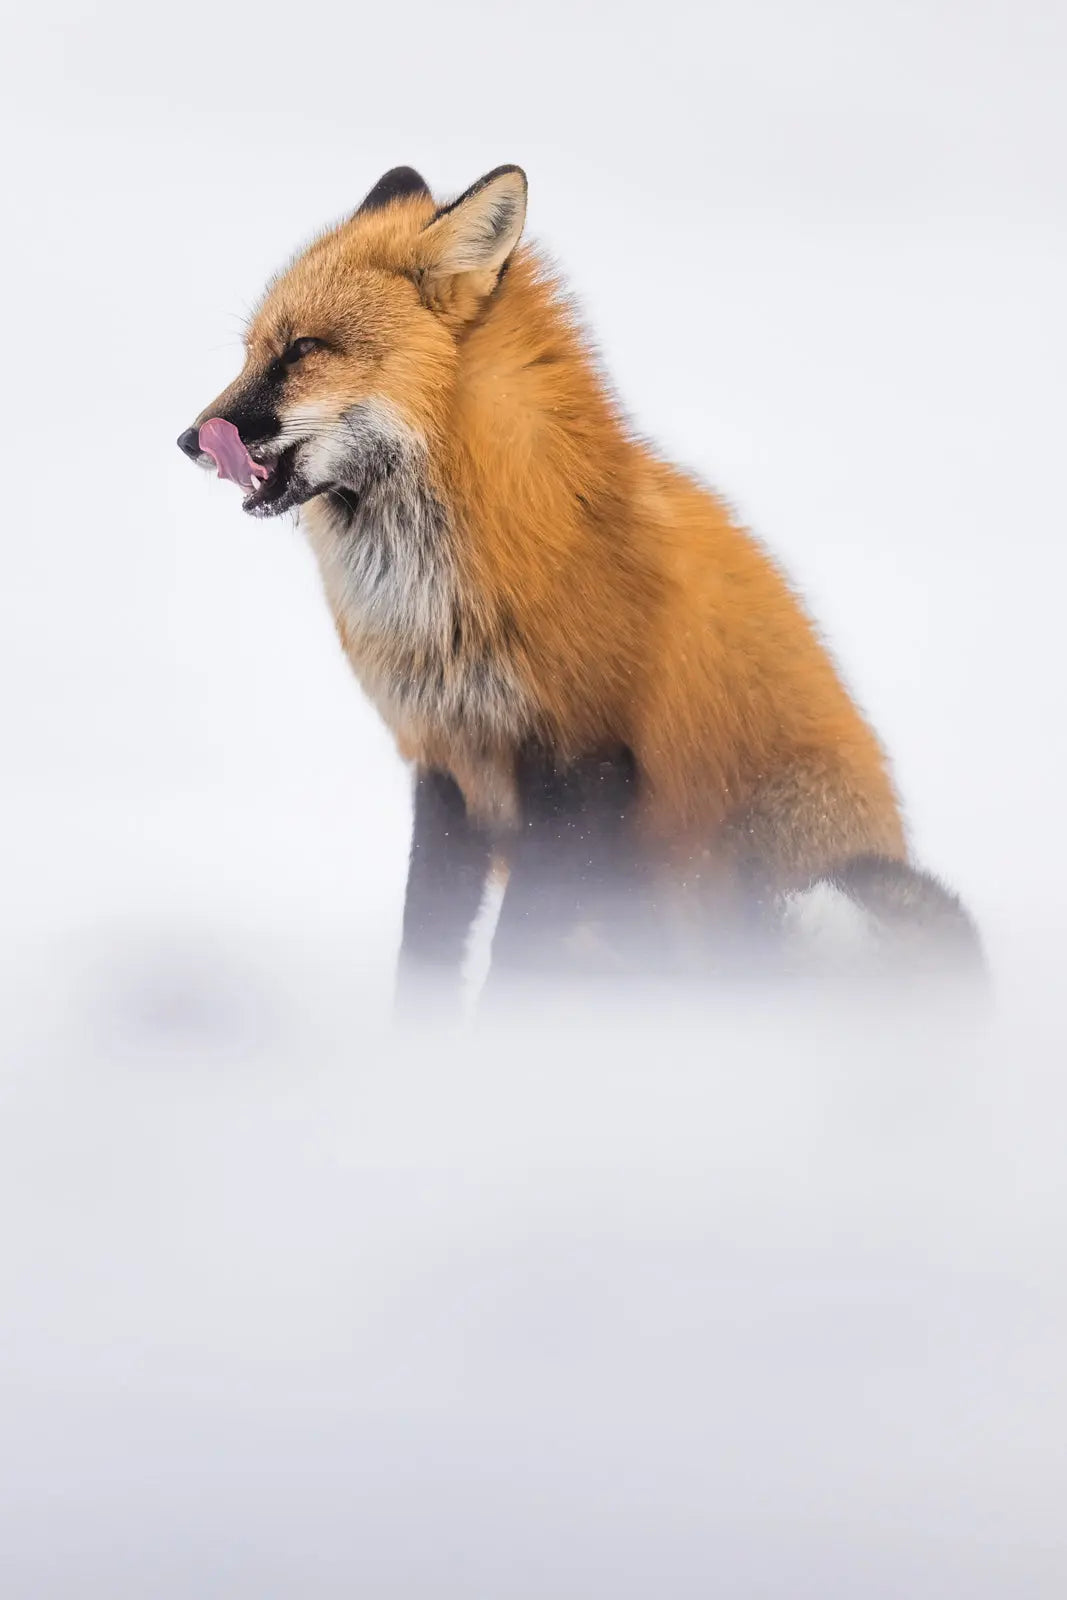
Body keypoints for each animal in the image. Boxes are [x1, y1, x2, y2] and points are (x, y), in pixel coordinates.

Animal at [178, 163, 981, 1000]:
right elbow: (425, 959)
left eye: (304, 348)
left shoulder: (584, 768)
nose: (188, 440)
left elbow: (514, 965)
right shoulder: (448, 770)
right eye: (251, 351)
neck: (441, 610)